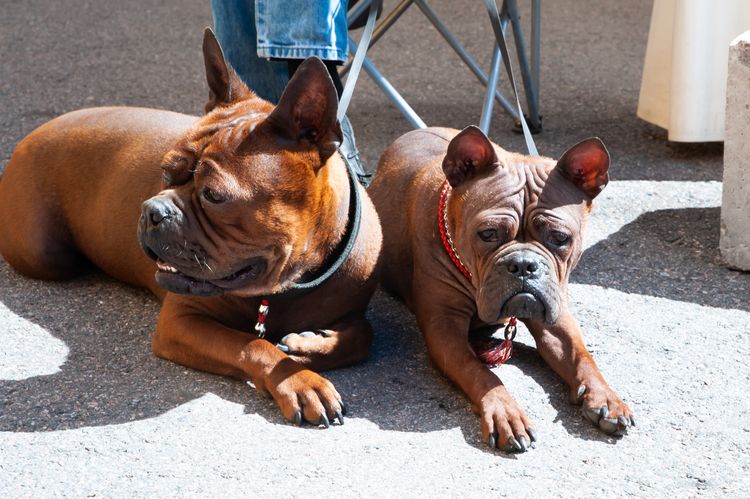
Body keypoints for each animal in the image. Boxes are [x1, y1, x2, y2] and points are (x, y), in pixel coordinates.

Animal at [0, 30, 384, 430]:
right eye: (166, 171)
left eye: (213, 195)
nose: (152, 210)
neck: (288, 286)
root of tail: (37, 131)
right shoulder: (181, 322)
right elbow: (251, 345)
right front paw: (299, 381)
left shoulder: (355, 312)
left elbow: (362, 336)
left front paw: (305, 346)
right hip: (45, 256)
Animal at [370, 126, 636, 454]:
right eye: (487, 234)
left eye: (560, 238)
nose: (523, 265)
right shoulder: (444, 329)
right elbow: (479, 371)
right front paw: (505, 412)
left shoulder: (557, 319)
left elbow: (582, 356)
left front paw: (606, 396)